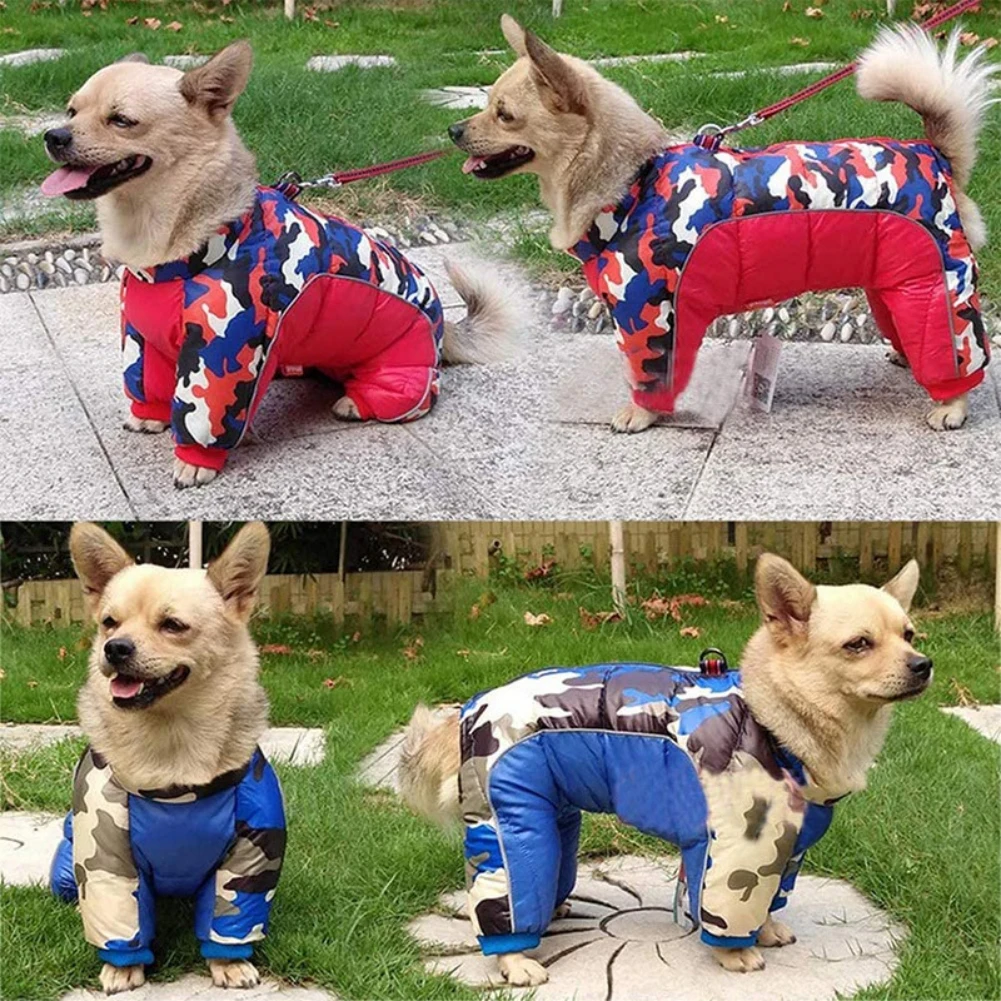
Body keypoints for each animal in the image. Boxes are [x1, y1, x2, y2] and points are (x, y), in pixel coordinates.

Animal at [40, 43, 512, 488]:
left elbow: (204, 418)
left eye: (121, 120)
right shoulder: (144, 337)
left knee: (413, 396)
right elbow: (146, 381)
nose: (52, 135)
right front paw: (149, 415)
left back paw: (358, 402)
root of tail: (444, 326)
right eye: (71, 110)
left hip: (401, 368)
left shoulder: (220, 353)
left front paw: (196, 462)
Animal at [51, 524, 286, 992]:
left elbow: (230, 916)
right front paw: (123, 966)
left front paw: (228, 962)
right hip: (67, 865)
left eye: (173, 625)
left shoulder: (252, 848)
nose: (115, 648)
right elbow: (119, 913)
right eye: (109, 622)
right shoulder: (107, 857)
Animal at [398, 556, 928, 984]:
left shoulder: (788, 846)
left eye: (909, 635)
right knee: (507, 889)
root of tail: (474, 707)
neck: (769, 715)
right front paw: (735, 955)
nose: (924, 664)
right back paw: (515, 959)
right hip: (510, 820)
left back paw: (555, 907)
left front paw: (768, 928)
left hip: (554, 813)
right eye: (858, 644)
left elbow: (771, 896)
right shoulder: (736, 847)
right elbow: (726, 909)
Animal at [452, 15, 992, 430]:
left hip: (937, 281)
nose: (453, 129)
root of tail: (933, 151)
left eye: (504, 114)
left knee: (955, 344)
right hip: (892, 282)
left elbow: (653, 372)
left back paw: (951, 401)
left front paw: (642, 414)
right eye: (486, 102)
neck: (635, 181)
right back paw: (906, 358)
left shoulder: (652, 311)